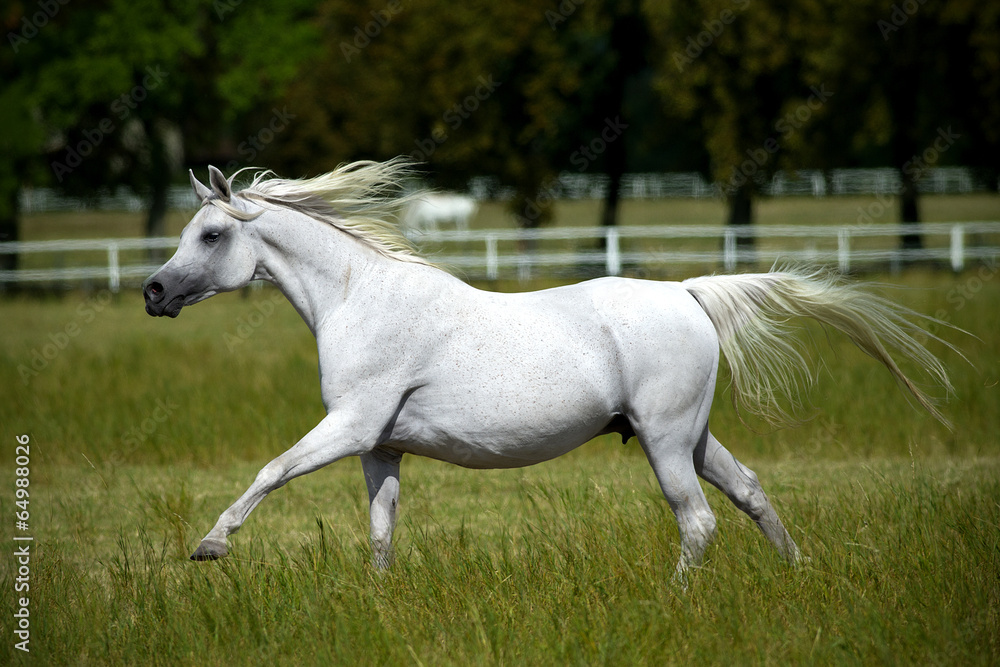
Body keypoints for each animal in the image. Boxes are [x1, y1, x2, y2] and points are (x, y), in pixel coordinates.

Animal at [141, 159, 952, 576]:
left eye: (210, 234)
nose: (152, 291)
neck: (359, 298)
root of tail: (688, 293)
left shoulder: (350, 425)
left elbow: (271, 470)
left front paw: (210, 545)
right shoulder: (381, 447)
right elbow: (379, 533)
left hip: (664, 440)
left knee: (697, 521)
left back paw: (677, 598)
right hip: (691, 435)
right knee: (750, 492)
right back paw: (798, 570)